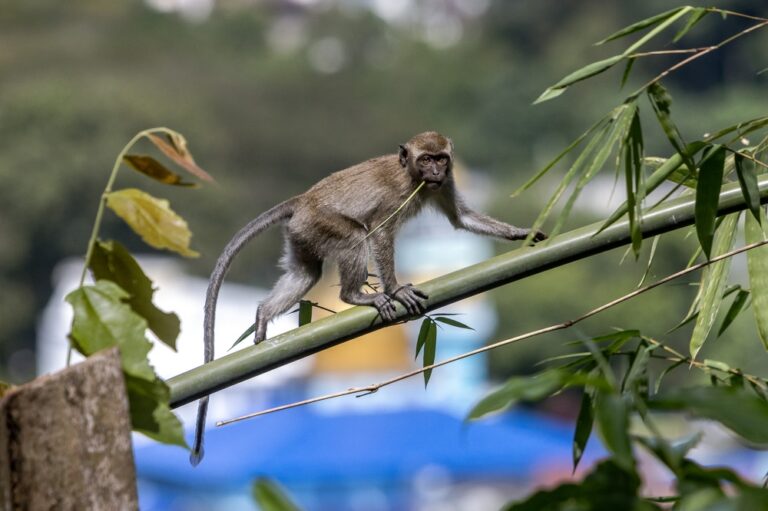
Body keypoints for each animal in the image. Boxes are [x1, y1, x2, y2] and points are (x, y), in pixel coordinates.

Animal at [189, 131, 546, 465]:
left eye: (441, 159)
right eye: (426, 159)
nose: (435, 171)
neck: (411, 176)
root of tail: (303, 199)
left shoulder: (444, 183)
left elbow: (461, 218)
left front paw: (519, 233)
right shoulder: (396, 195)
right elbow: (380, 231)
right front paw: (395, 289)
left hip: (302, 233)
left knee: (307, 273)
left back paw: (263, 315)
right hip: (318, 223)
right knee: (355, 236)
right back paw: (354, 296)